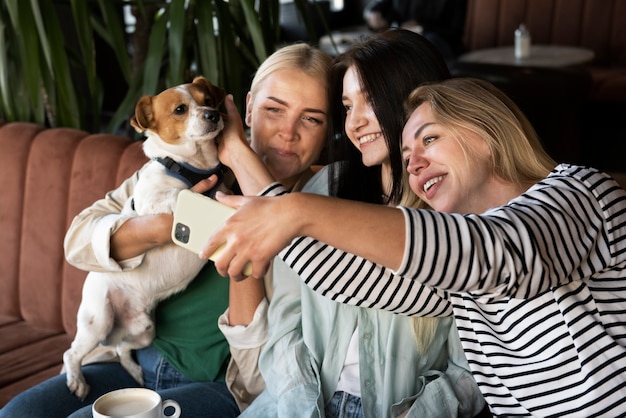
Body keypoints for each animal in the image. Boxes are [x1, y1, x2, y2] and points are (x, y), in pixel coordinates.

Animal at [61, 76, 225, 400]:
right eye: (180, 109)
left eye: (209, 100)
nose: (213, 115)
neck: (194, 167)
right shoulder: (153, 201)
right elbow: (179, 196)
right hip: (99, 320)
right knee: (71, 353)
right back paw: (77, 381)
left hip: (145, 329)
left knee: (122, 348)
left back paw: (135, 373)